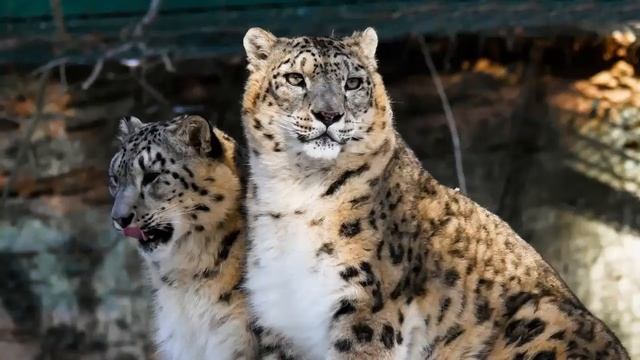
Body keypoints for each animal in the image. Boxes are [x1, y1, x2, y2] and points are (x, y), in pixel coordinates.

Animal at [239, 28, 624, 360]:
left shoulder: (366, 312)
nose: (329, 114)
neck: (295, 191)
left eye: (353, 83)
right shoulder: (278, 321)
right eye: (295, 79)